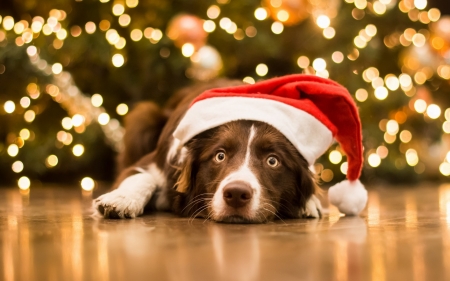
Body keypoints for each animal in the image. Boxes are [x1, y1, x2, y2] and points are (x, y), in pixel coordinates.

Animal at [93, 79, 324, 223]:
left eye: (273, 160)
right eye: (219, 156)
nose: (237, 194)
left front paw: (310, 203)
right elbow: (142, 176)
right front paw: (121, 199)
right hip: (144, 118)